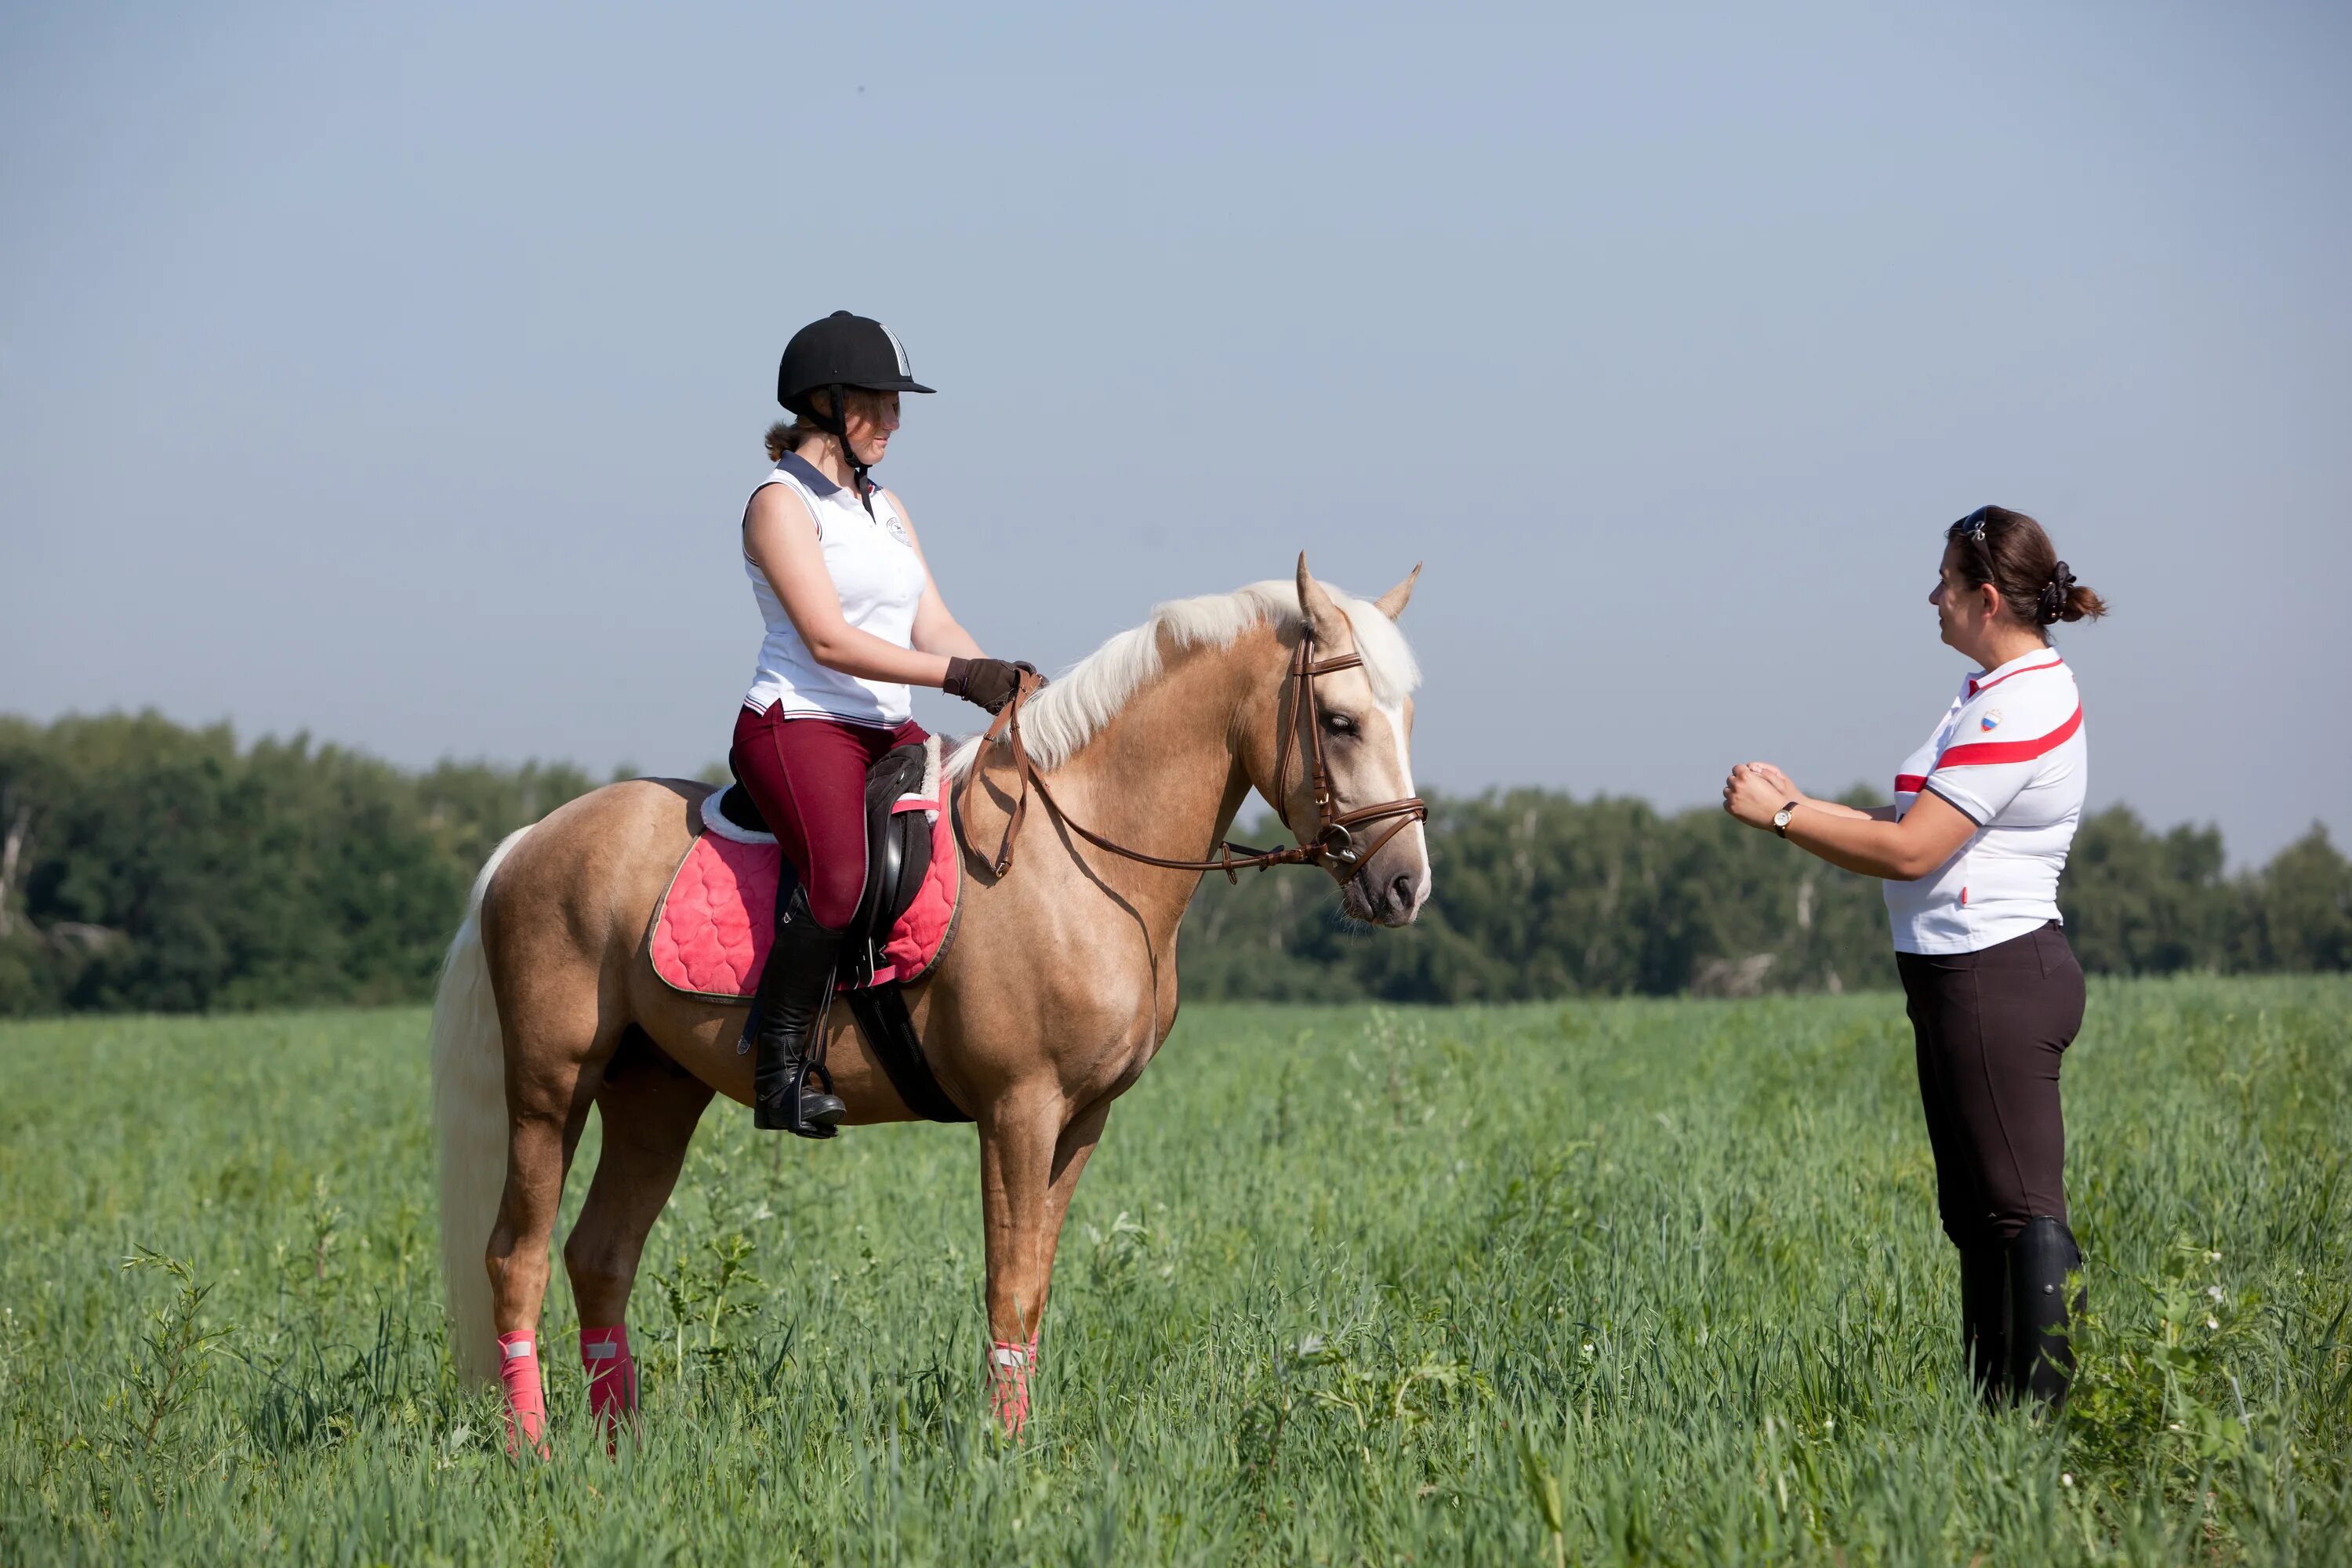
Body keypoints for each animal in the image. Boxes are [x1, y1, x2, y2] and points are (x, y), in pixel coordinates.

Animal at [435, 557, 1430, 1439]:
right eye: (1341, 721)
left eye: (1406, 714)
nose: (1405, 886)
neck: (1081, 857)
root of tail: (530, 837)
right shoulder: (1018, 1107)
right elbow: (1011, 1284)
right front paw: (1007, 1453)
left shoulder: (1083, 1118)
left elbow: (1037, 1279)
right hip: (550, 1088)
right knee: (515, 1255)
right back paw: (534, 1447)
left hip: (654, 1093)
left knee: (600, 1255)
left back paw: (621, 1448)